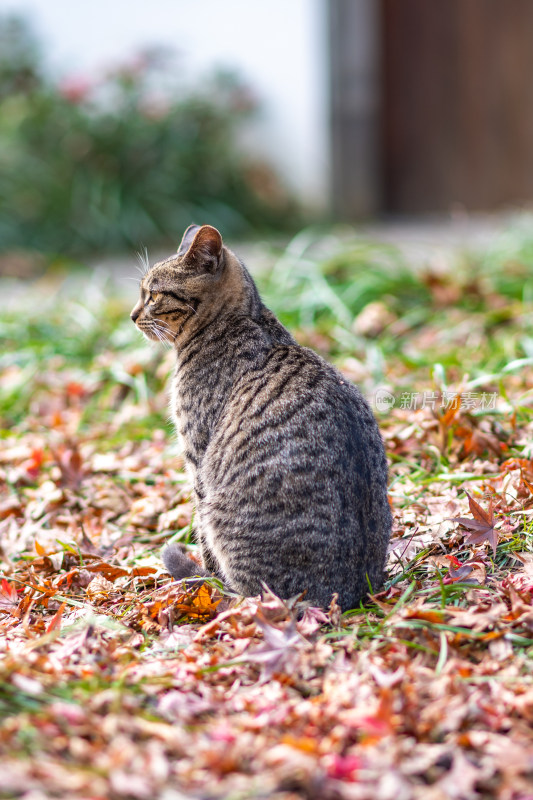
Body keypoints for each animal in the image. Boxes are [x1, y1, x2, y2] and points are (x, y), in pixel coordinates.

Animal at [132, 222, 390, 608]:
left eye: (153, 295)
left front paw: (208, 581)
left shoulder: (197, 460)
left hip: (219, 513)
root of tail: (346, 595)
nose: (132, 315)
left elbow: (203, 542)